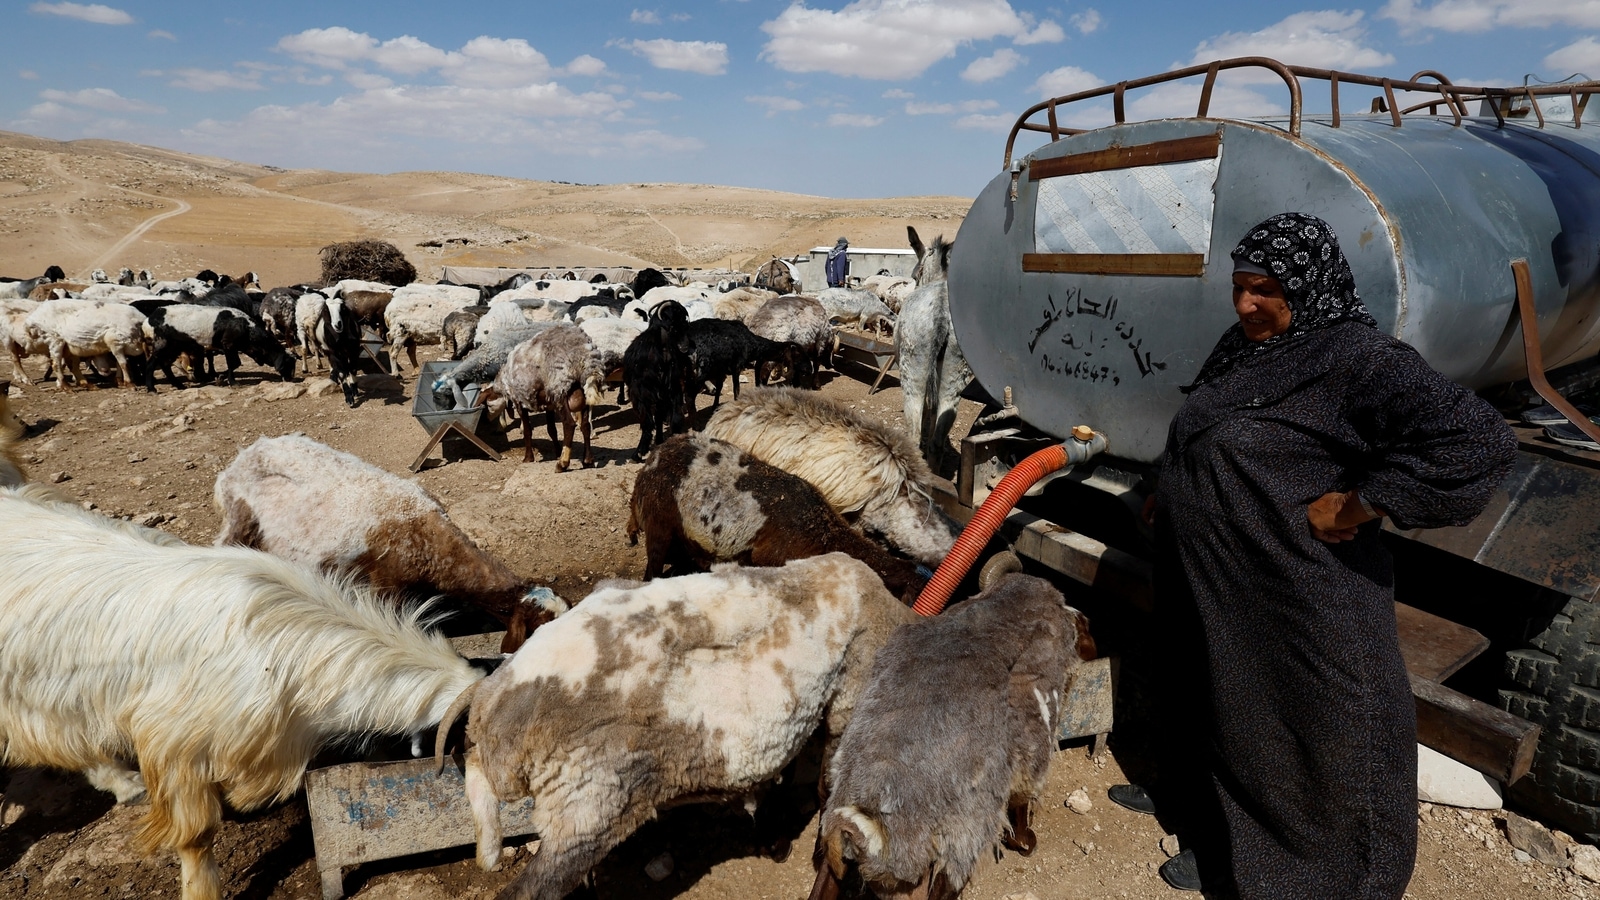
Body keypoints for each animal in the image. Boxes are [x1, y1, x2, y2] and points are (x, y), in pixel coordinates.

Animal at [620, 297, 691, 458]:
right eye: (677, 320)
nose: (686, 346)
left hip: (642, 394)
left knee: (647, 422)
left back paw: (639, 453)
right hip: (672, 388)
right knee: (673, 416)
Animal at [806, 573, 1094, 896]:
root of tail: (864, 820)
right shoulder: (1032, 748)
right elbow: (1022, 799)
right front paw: (1024, 841)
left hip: (837, 842)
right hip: (957, 839)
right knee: (946, 883)